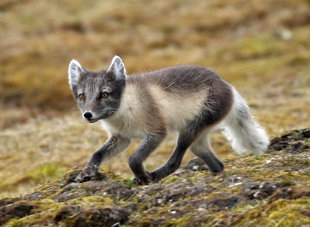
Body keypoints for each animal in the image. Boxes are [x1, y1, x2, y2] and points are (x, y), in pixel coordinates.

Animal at [68, 56, 268, 184]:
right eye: (82, 96)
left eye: (104, 94)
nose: (88, 115)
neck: (124, 108)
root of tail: (228, 85)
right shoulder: (121, 137)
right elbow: (97, 154)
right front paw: (87, 172)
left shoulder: (157, 132)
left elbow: (133, 159)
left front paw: (143, 177)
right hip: (198, 138)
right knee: (216, 162)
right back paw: (215, 175)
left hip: (189, 130)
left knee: (176, 161)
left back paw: (155, 176)